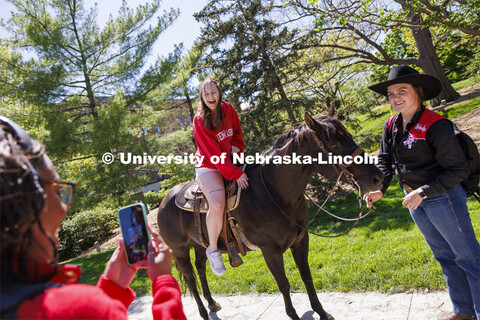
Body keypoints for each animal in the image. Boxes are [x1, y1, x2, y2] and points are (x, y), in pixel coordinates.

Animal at [157, 111, 382, 318]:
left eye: (349, 135)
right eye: (334, 143)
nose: (377, 177)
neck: (274, 192)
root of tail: (163, 202)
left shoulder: (301, 239)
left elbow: (306, 276)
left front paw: (321, 312)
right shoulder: (270, 250)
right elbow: (283, 283)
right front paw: (293, 315)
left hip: (199, 244)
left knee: (201, 269)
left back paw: (212, 303)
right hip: (180, 250)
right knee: (190, 278)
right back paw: (203, 312)